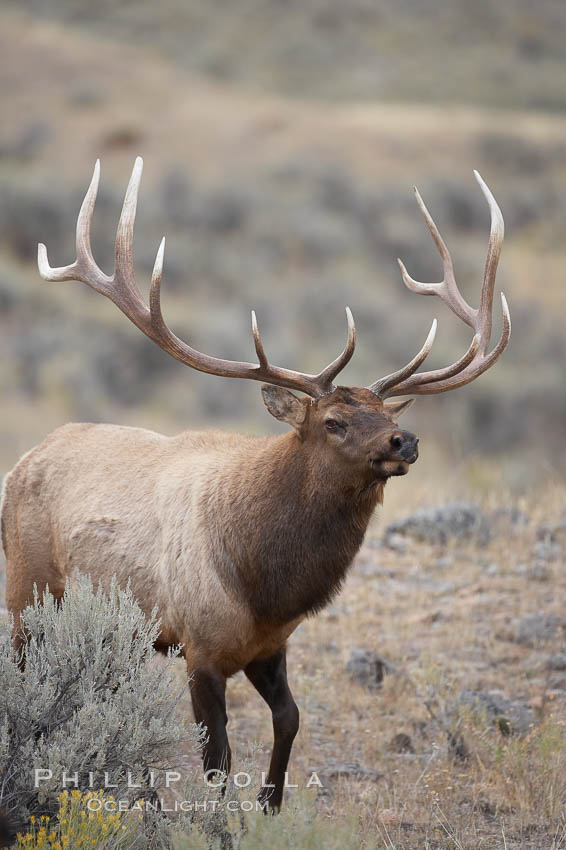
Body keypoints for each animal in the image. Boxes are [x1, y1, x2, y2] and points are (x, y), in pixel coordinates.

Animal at [0, 157, 512, 808]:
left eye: (387, 414)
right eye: (333, 421)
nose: (406, 442)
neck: (264, 581)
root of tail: (21, 463)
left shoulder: (271, 645)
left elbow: (289, 720)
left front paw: (269, 806)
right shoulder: (200, 644)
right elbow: (217, 757)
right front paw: (223, 818)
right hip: (28, 592)